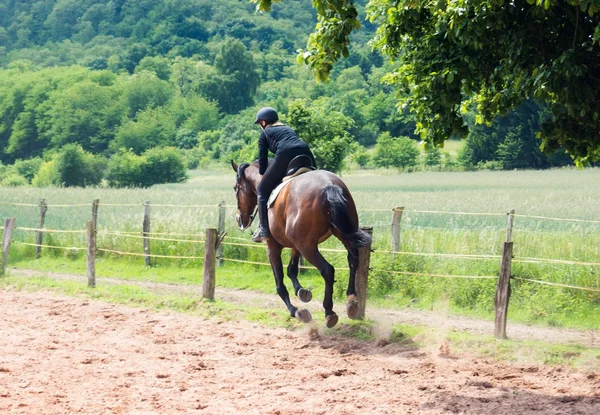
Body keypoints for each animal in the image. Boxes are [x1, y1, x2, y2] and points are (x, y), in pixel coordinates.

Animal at [232, 160, 372, 328]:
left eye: (236, 188)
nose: (239, 219)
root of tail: (328, 186)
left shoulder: (273, 247)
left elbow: (280, 284)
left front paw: (296, 311)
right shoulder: (296, 245)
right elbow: (292, 270)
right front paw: (302, 292)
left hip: (308, 247)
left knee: (327, 270)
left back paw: (329, 312)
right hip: (341, 235)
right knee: (353, 260)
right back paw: (351, 301)